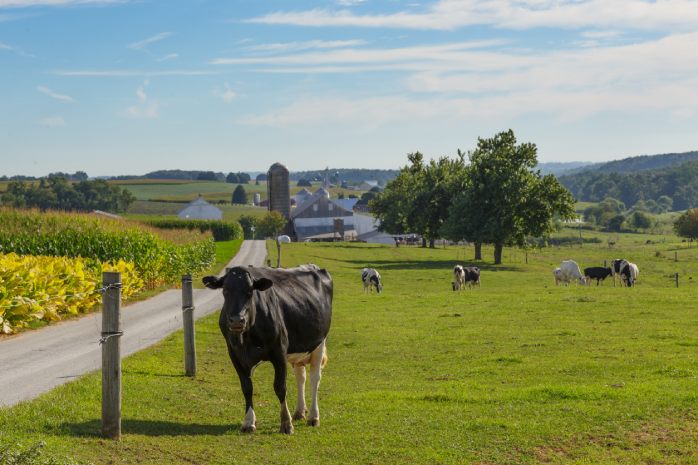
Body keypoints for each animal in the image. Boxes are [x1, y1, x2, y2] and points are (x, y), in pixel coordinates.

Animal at [201, 262, 332, 434]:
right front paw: (249, 422)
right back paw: (299, 412)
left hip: (319, 342)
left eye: (250, 292)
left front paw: (286, 423)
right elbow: (247, 388)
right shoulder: (234, 354)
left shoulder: (279, 351)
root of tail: (313, 266)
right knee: (301, 377)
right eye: (225, 291)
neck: (245, 339)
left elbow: (280, 387)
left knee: (314, 378)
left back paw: (313, 417)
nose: (237, 320)